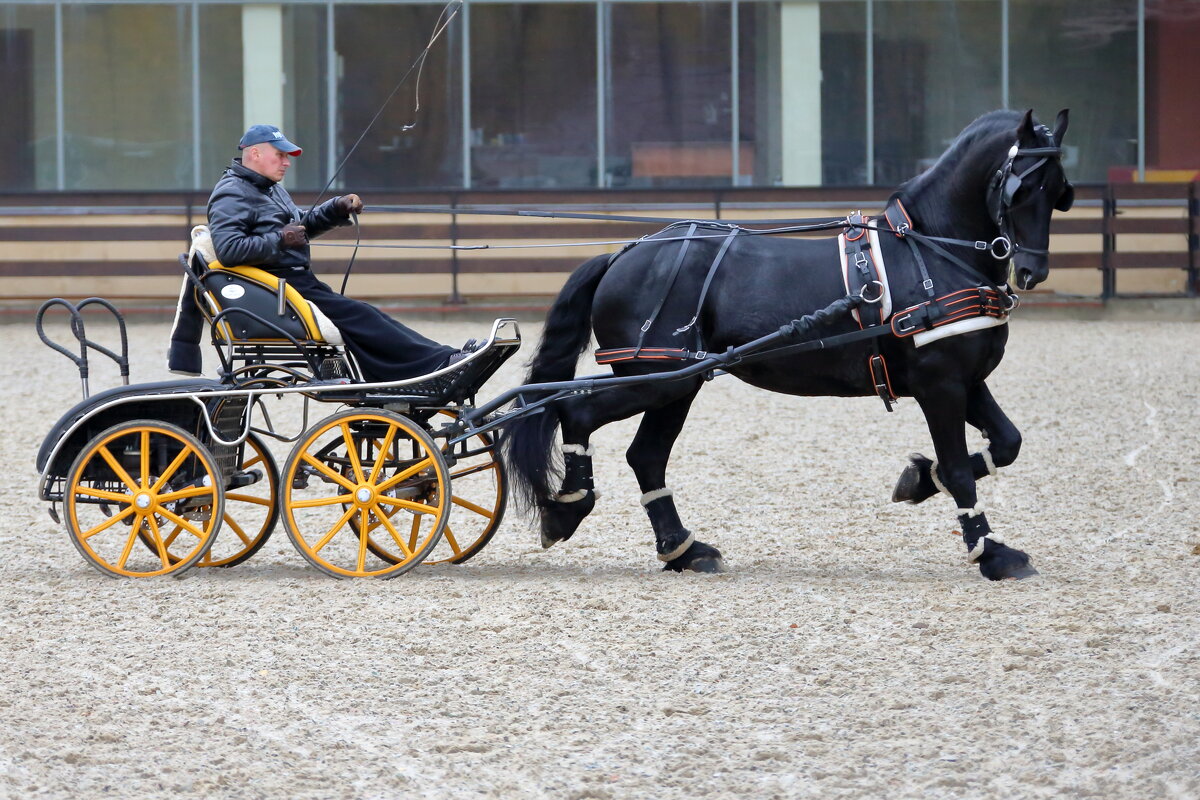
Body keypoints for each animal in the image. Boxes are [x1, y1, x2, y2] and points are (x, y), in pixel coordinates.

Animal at [501, 107, 1075, 582]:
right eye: (1021, 189)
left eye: (1059, 192)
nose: (1032, 271)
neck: (929, 252)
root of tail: (625, 253)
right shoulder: (940, 385)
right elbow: (957, 469)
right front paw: (992, 553)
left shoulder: (966, 380)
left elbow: (1007, 443)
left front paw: (916, 480)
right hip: (655, 378)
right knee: (576, 411)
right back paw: (568, 508)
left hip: (677, 381)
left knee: (645, 455)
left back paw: (683, 550)